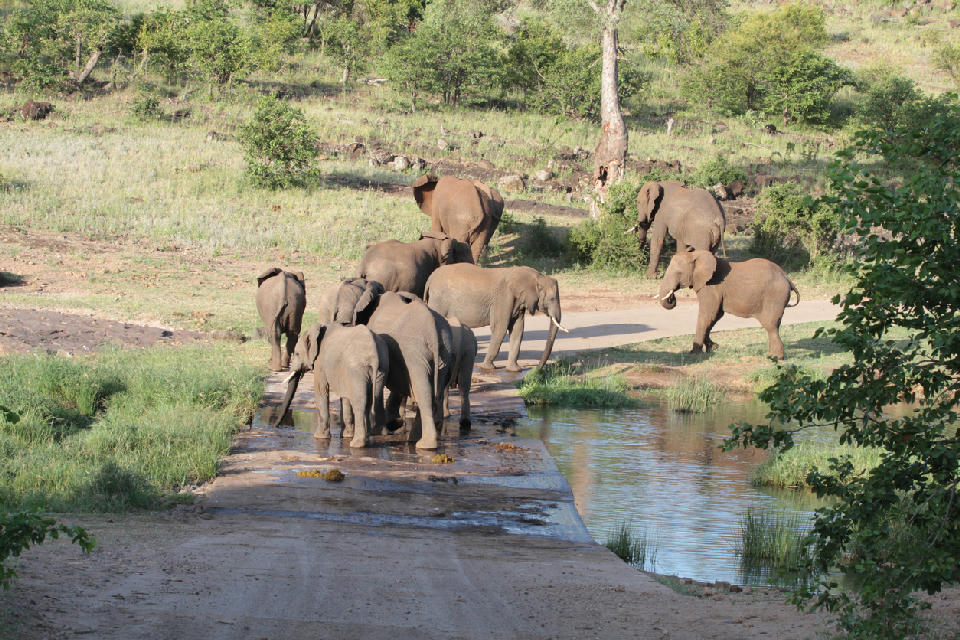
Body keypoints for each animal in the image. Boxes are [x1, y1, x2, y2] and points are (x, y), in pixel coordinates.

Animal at [332, 279, 451, 450]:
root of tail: (432, 328)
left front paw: (381, 429)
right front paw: (392, 424)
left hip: (414, 351)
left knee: (423, 391)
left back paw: (424, 444)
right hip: (444, 352)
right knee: (434, 390)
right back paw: (415, 440)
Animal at [424, 264, 566, 373]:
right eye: (552, 299)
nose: (536, 369)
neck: (538, 276)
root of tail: (430, 278)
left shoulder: (517, 302)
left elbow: (518, 330)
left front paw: (515, 370)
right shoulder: (503, 298)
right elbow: (500, 328)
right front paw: (487, 368)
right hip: (438, 301)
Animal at [656, 250, 799, 360]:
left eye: (678, 273)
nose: (672, 298)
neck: (695, 254)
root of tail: (787, 277)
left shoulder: (711, 286)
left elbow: (707, 314)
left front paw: (694, 353)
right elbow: (715, 316)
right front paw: (713, 348)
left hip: (774, 296)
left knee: (770, 325)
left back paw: (775, 357)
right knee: (773, 326)